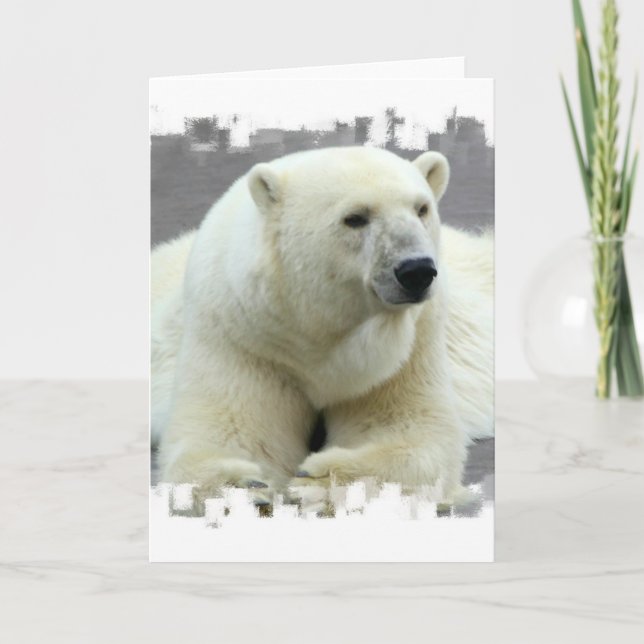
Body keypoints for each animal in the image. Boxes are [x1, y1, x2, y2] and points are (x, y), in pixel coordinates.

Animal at [151, 146, 493, 508]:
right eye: (355, 217)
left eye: (422, 208)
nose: (417, 271)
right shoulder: (241, 335)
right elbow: (234, 431)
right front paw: (243, 484)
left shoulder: (410, 344)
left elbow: (408, 429)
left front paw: (317, 479)